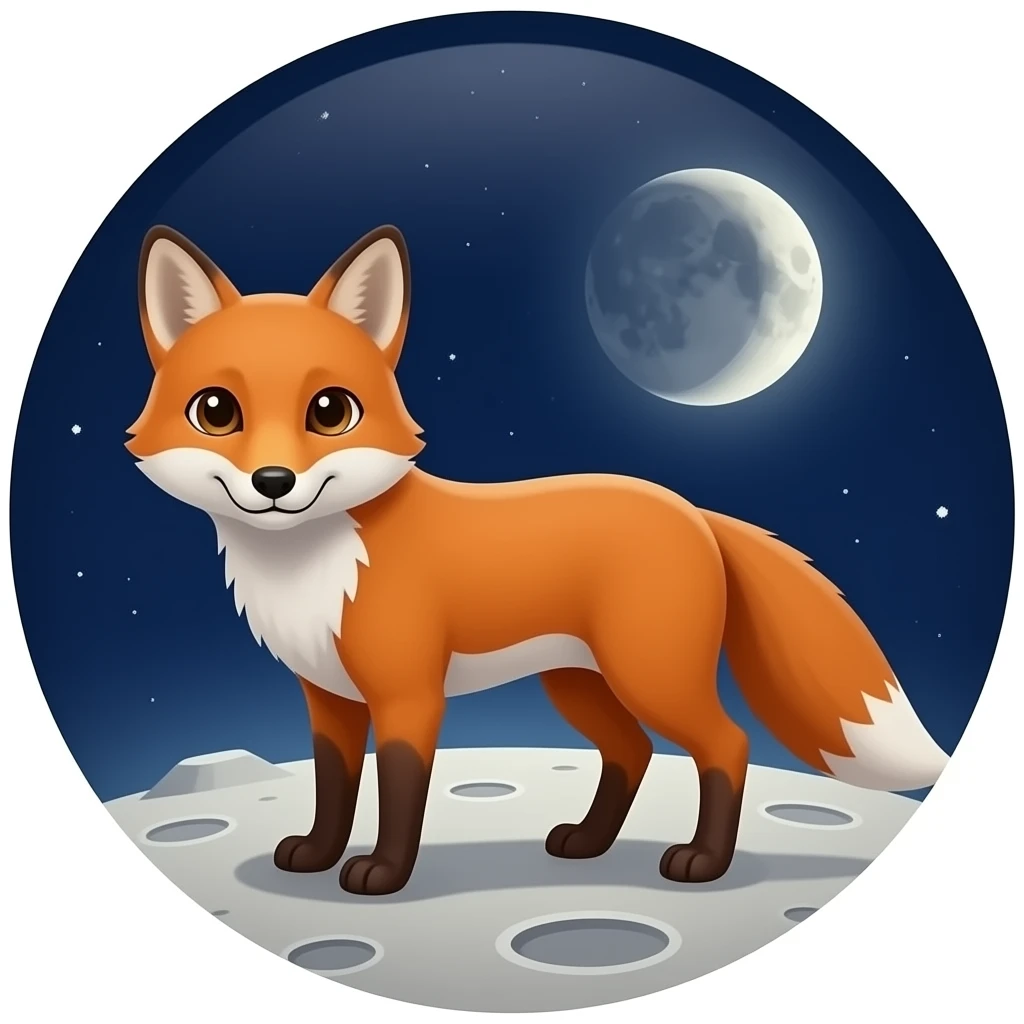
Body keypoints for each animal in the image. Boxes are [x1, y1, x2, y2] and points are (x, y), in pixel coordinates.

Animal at [127, 223, 950, 896]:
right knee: (634, 751)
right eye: (216, 411)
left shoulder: (408, 695)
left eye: (330, 411)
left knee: (726, 743)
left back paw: (702, 862)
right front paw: (317, 854)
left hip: (649, 673)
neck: (311, 567)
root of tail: (691, 509)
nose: (274, 484)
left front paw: (383, 875)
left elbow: (400, 792)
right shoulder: (328, 697)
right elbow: (334, 789)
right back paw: (588, 842)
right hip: (578, 682)